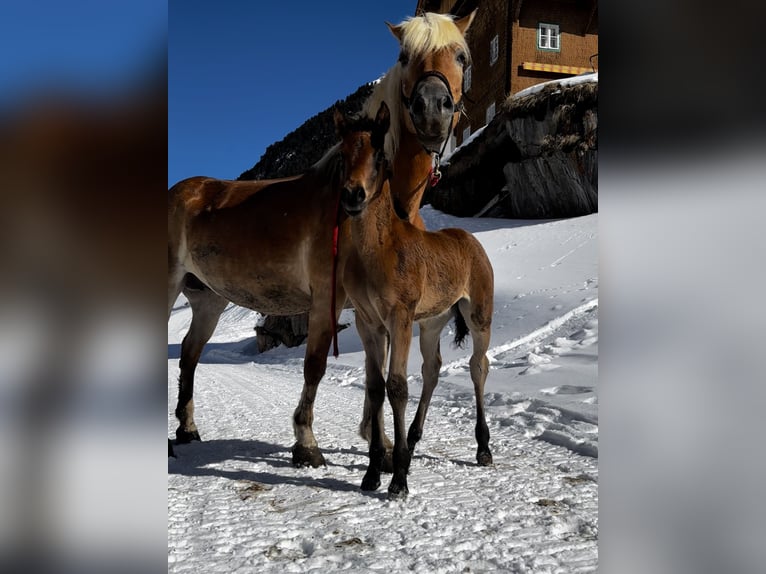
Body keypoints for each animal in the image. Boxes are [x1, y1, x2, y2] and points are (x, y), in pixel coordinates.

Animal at [170, 11, 474, 470]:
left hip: (207, 300)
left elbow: (378, 371)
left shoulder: (378, 307)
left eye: (461, 56)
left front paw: (381, 445)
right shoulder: (326, 301)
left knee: (189, 353)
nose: (432, 109)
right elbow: (314, 365)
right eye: (404, 56)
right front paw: (307, 443)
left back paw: (187, 429)